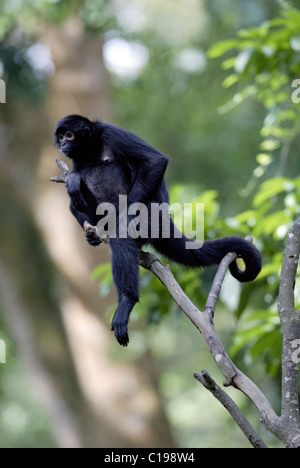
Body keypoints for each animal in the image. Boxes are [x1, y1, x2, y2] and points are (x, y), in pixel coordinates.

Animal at [54, 115, 262, 346]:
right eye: (61, 137)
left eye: (69, 135)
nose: (63, 144)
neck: (92, 149)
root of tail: (165, 219)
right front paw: (73, 180)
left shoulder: (112, 133)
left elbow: (155, 161)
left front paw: (123, 215)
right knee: (74, 203)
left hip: (150, 219)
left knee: (122, 236)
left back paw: (126, 301)